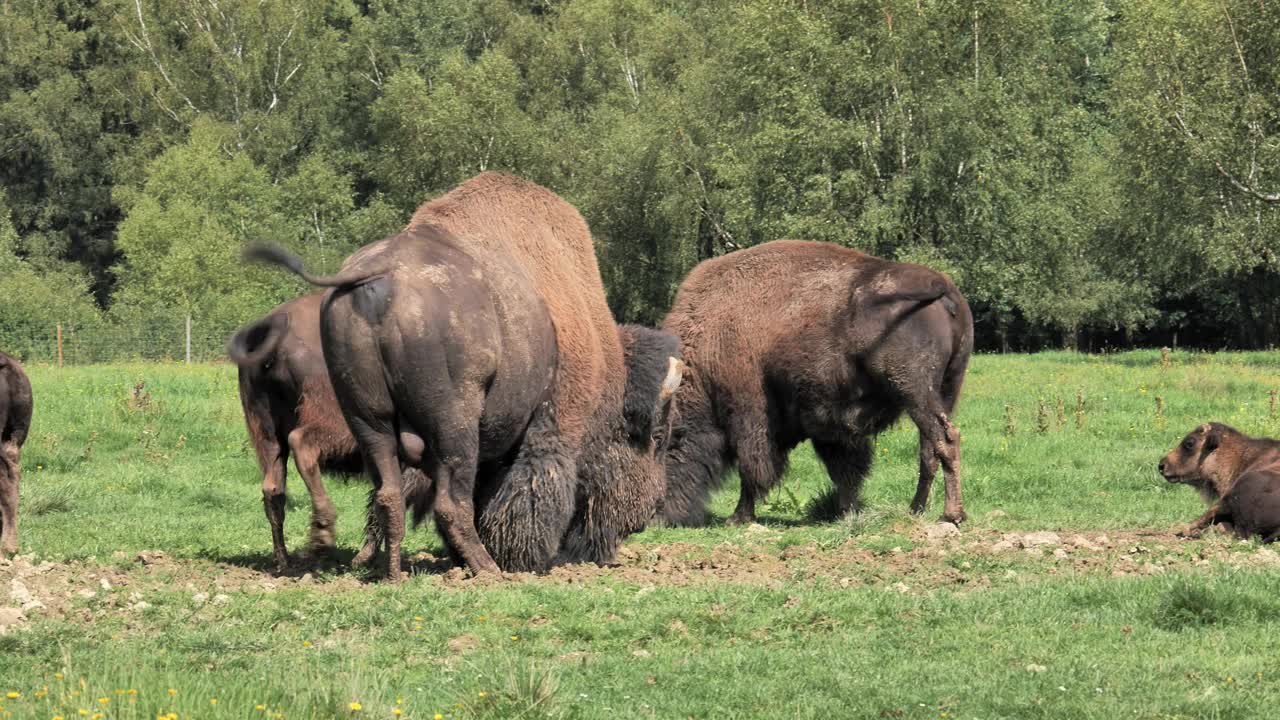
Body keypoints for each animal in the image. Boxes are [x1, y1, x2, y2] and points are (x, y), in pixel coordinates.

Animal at [225, 292, 430, 571]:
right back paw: (322, 532)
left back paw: (284, 561)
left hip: (265, 429)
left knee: (273, 487)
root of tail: (277, 323)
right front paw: (365, 558)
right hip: (334, 419)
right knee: (302, 445)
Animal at [248, 170, 680, 573]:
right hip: (453, 425)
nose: (652, 508)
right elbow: (529, 492)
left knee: (386, 493)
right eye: (656, 438)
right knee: (450, 502)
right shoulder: (549, 427)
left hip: (366, 420)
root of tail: (380, 274)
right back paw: (486, 568)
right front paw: (524, 559)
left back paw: (393, 572)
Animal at [655, 238, 972, 525]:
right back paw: (916, 510)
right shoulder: (830, 425)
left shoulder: (751, 415)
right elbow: (845, 470)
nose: (657, 517)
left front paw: (738, 517)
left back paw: (951, 515)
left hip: (915, 391)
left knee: (945, 439)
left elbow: (753, 468)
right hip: (944, 391)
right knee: (929, 449)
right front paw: (847, 512)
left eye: (663, 446)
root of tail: (943, 284)